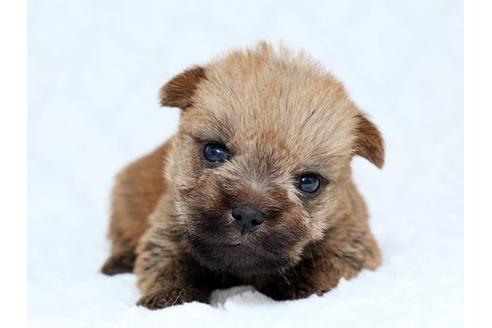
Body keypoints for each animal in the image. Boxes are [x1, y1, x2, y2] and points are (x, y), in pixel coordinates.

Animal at [100, 43, 384, 310]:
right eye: (213, 151)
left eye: (309, 182)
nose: (248, 215)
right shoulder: (168, 228)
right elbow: (169, 265)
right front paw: (168, 298)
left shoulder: (352, 242)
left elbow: (323, 268)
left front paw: (292, 290)